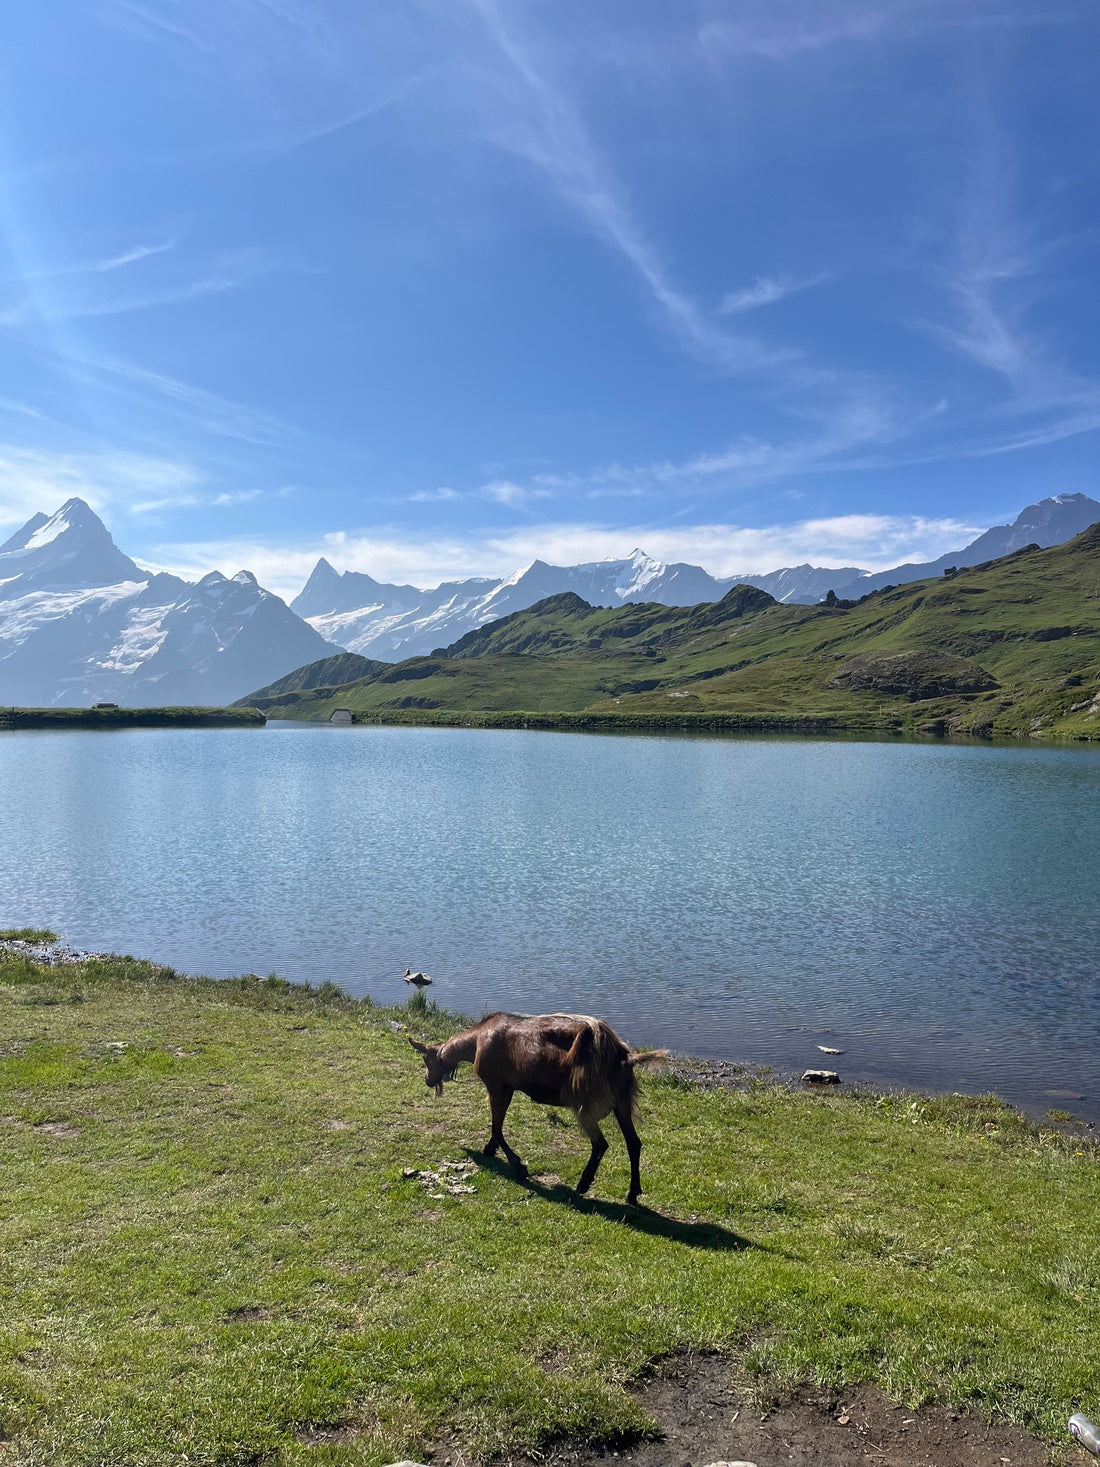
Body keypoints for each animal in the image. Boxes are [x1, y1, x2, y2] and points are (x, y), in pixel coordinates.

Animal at [407, 1009, 662, 1202]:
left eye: (425, 1059)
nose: (428, 1080)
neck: (476, 1042)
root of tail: (622, 1057)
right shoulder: (509, 1087)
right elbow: (497, 1126)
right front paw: (490, 1149)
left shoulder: (496, 1084)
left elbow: (496, 1128)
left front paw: (518, 1166)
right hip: (622, 1101)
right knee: (633, 1142)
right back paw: (632, 1193)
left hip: (583, 1101)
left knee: (601, 1143)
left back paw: (583, 1184)